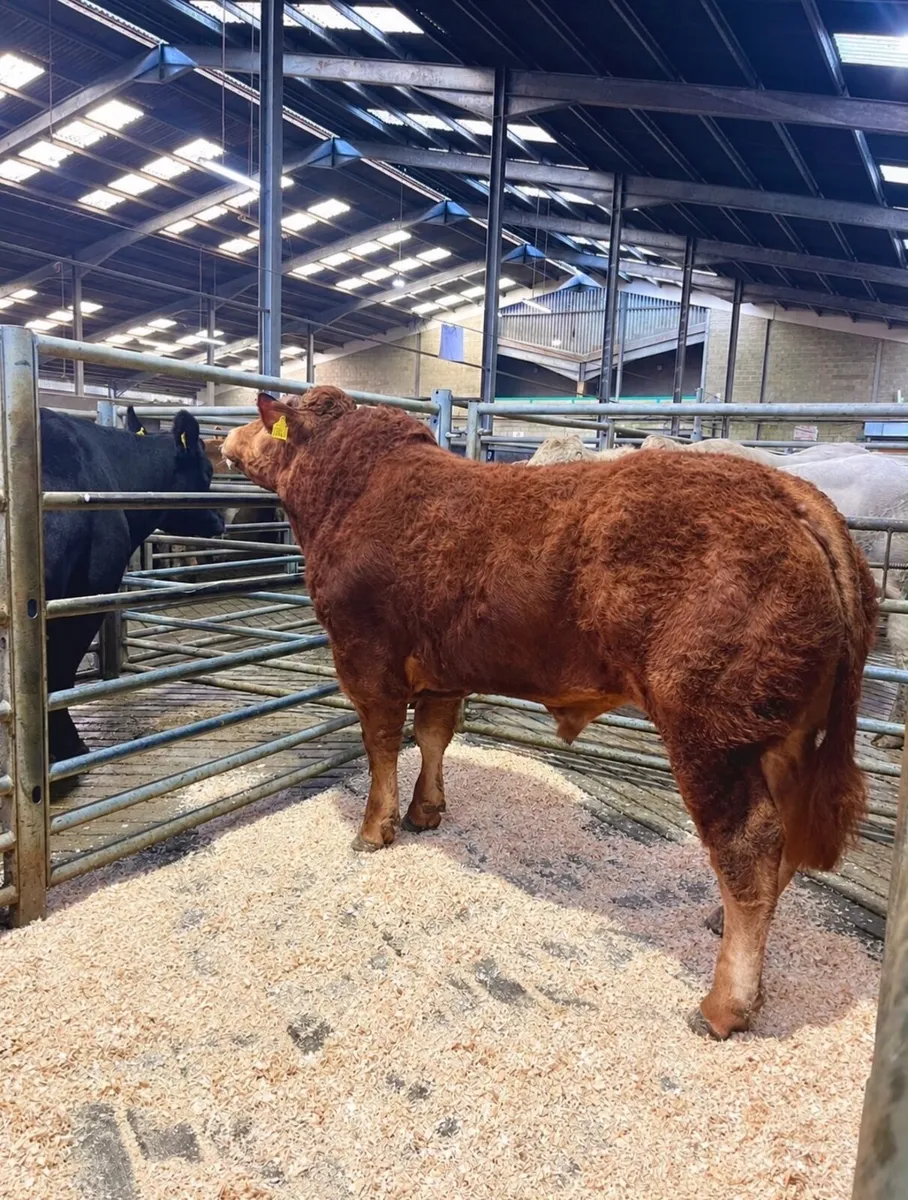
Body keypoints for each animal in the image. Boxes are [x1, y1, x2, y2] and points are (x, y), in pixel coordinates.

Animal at [222, 387, 876, 1040]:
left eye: (259, 420)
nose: (220, 439)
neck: (347, 491)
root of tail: (789, 492)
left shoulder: (364, 656)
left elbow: (382, 744)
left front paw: (372, 831)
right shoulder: (444, 669)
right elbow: (433, 736)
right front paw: (425, 812)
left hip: (711, 727)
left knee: (749, 839)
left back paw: (722, 1005)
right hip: (785, 731)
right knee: (787, 829)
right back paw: (721, 922)